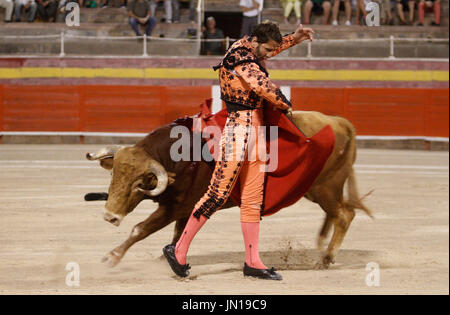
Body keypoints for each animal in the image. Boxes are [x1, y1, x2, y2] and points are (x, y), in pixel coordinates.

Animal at [86, 110, 374, 270]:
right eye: (113, 175)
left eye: (139, 184)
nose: (109, 216)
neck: (183, 156)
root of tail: (339, 122)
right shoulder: (185, 207)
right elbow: (178, 233)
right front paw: (167, 256)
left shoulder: (175, 207)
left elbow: (141, 229)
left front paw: (112, 257)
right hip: (315, 190)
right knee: (337, 214)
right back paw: (323, 247)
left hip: (327, 187)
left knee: (345, 215)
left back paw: (325, 259)